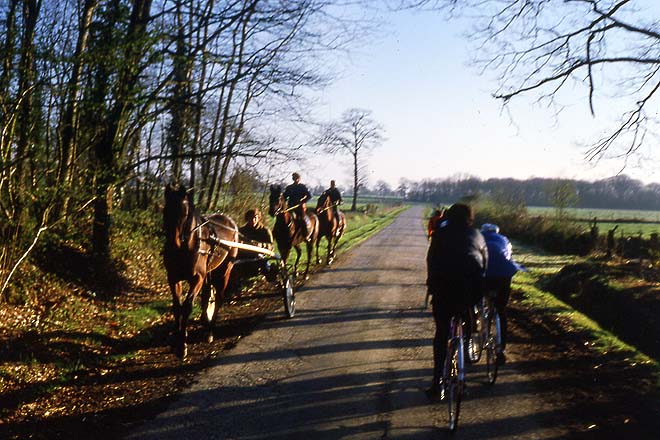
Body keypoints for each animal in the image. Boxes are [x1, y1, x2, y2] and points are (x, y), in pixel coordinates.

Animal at [162, 184, 237, 360]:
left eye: (184, 213)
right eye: (165, 211)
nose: (172, 245)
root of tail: (230, 222)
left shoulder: (198, 278)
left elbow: (187, 307)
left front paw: (182, 346)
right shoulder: (173, 278)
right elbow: (177, 307)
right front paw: (177, 339)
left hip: (225, 270)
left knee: (219, 298)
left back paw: (210, 331)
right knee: (207, 297)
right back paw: (205, 321)